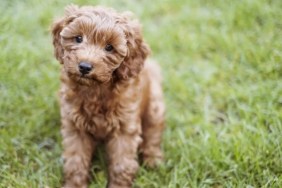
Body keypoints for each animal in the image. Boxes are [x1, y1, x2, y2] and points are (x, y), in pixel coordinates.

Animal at [51, 4, 165, 188]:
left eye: (109, 47)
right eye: (78, 38)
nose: (84, 66)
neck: (96, 89)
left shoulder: (124, 128)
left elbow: (122, 164)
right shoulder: (74, 126)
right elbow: (76, 160)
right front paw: (74, 184)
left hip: (155, 106)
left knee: (153, 134)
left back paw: (153, 161)